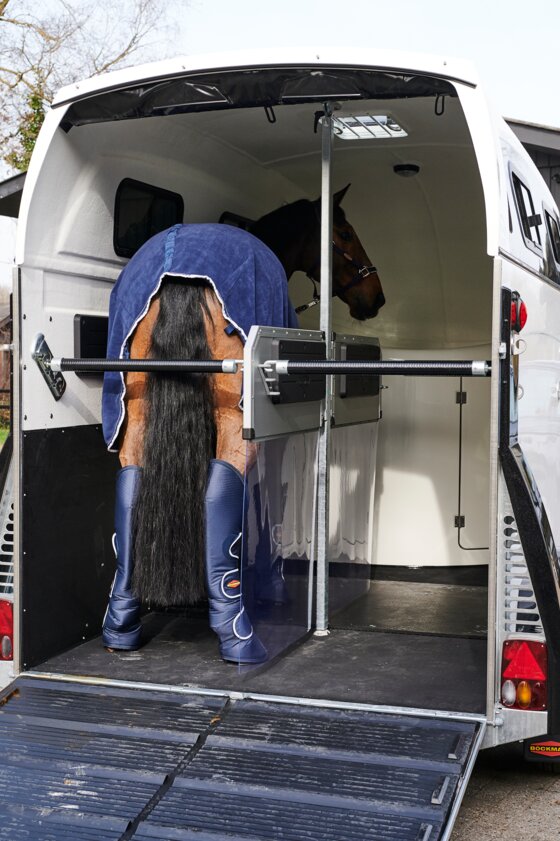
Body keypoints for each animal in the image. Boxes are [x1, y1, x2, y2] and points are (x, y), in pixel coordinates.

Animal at [101, 184, 384, 664]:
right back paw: (239, 637)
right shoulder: (267, 430)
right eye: (343, 232)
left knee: (131, 482)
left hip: (133, 411)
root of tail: (177, 272)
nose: (376, 297)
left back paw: (121, 627)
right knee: (225, 485)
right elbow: (263, 494)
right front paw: (270, 579)